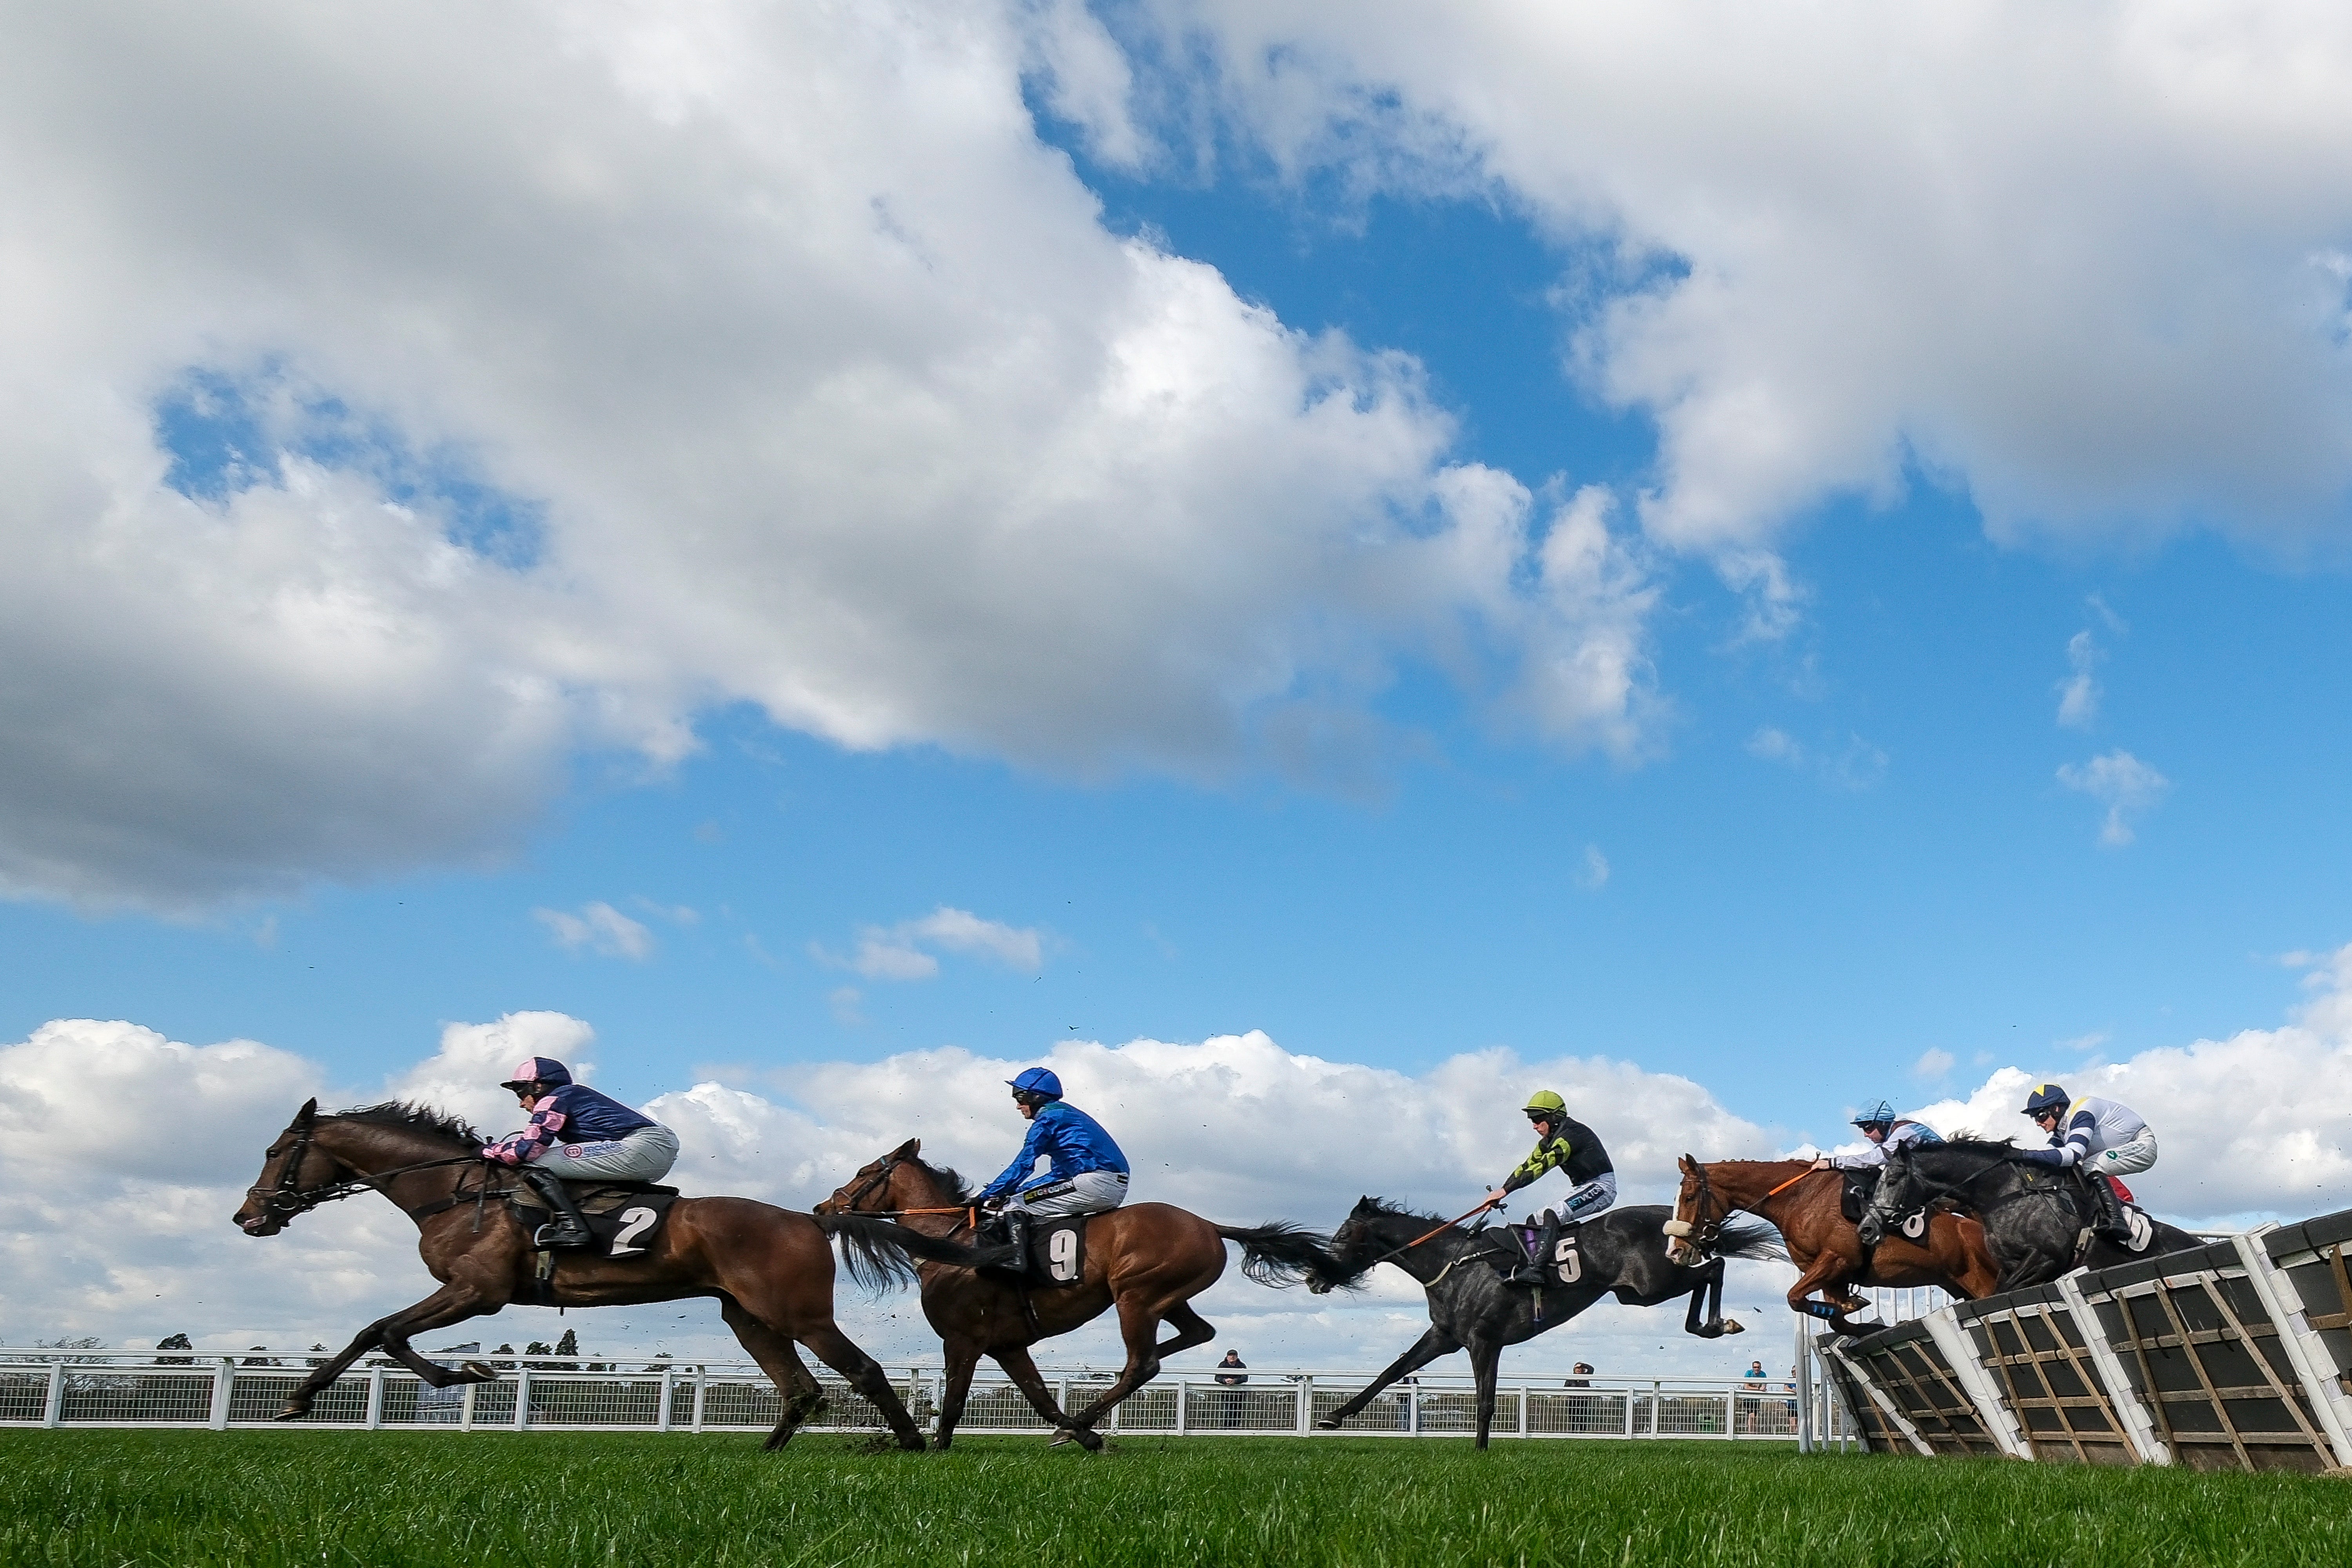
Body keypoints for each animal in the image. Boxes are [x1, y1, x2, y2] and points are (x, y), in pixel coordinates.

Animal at [234, 1105, 1016, 1448]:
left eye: (274, 1151)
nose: (248, 1217)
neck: (455, 1191)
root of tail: (809, 1218)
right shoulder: (471, 1295)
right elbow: (378, 1333)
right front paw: (302, 1399)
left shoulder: (478, 1293)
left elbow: (384, 1332)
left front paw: (460, 1375)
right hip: (747, 1316)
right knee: (801, 1389)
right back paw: (766, 1454)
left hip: (797, 1314)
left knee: (861, 1372)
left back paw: (910, 1444)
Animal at [818, 1133, 1345, 1457]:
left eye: (863, 1171)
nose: (823, 1206)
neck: (953, 1247)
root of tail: (1210, 1224)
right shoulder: (1008, 1345)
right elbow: (1040, 1398)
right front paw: (1080, 1433)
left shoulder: (963, 1340)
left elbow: (954, 1401)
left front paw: (937, 1449)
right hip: (1165, 1296)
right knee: (1196, 1333)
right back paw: (1084, 1419)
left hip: (1135, 1294)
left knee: (1143, 1363)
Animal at [1298, 1203, 1769, 1448]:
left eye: (1342, 1237)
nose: (1313, 1279)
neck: (1454, 1264)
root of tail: (1669, 1213)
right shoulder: (1445, 1337)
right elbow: (1391, 1371)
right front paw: (1334, 1417)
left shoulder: (1483, 1341)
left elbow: (1485, 1402)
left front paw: (1480, 1452)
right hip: (1636, 1292)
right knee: (1710, 1269)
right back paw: (1713, 1323)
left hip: (1654, 1282)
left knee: (1716, 1266)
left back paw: (1717, 1324)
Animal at [1656, 1152, 2004, 1335]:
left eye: (1689, 1197)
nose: (1674, 1251)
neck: (1801, 1199)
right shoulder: (1830, 1276)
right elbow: (1835, 1320)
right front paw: (1857, 1315)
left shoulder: (1837, 1260)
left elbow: (1795, 1298)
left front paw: (1855, 1307)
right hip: (1956, 1285)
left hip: (1982, 1283)